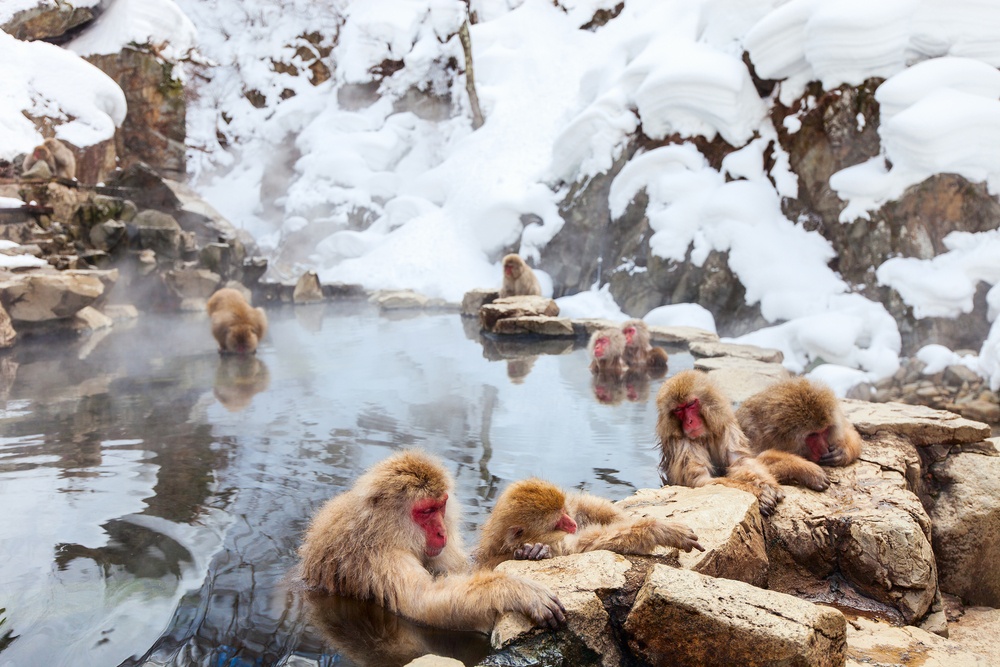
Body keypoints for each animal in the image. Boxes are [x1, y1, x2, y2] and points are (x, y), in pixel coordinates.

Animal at [296, 452, 568, 636]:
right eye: (426, 511)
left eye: (440, 506)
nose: (441, 531)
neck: (382, 529)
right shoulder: (382, 557)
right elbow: (423, 605)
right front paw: (515, 589)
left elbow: (461, 571)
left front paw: (529, 551)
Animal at [474, 478, 704, 572]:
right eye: (558, 521)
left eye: (564, 512)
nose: (571, 523)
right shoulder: (554, 541)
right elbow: (584, 546)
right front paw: (662, 530)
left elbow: (584, 506)